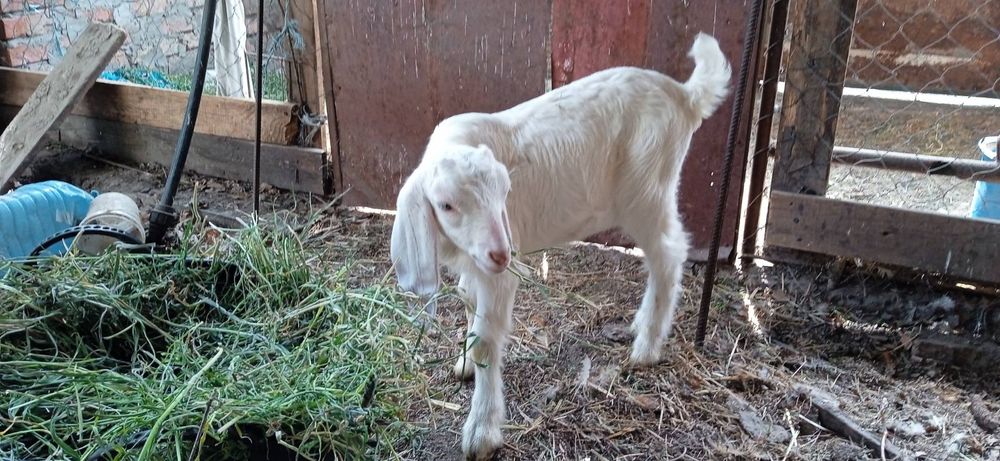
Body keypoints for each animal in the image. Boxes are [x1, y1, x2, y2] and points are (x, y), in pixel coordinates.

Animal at [389, 32, 732, 460]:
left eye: (504, 193)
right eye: (447, 205)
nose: (502, 254)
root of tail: (683, 95)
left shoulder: (500, 272)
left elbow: (488, 341)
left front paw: (481, 431)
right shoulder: (476, 260)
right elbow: (468, 299)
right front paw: (465, 361)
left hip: (647, 188)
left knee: (668, 255)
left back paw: (647, 347)